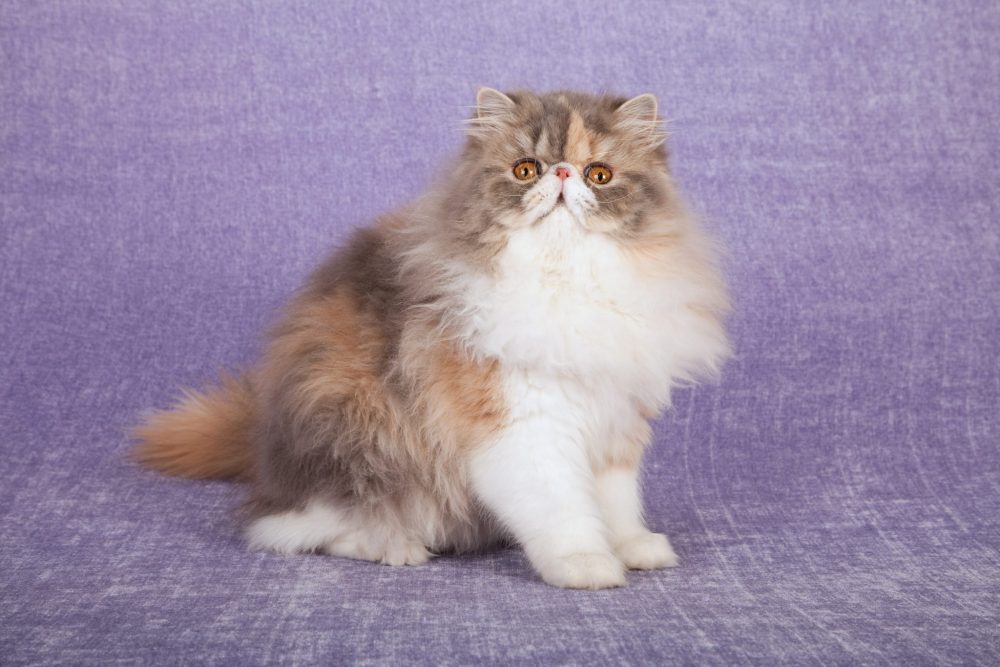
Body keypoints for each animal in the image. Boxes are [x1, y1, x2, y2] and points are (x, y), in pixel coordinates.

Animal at [133, 87, 728, 588]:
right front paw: (585, 564)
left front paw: (630, 547)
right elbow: (562, 506)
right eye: (526, 169)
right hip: (357, 441)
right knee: (297, 529)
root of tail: (262, 449)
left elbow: (616, 503)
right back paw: (395, 548)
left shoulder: (614, 421)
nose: (562, 172)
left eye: (599, 175)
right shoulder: (521, 425)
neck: (564, 282)